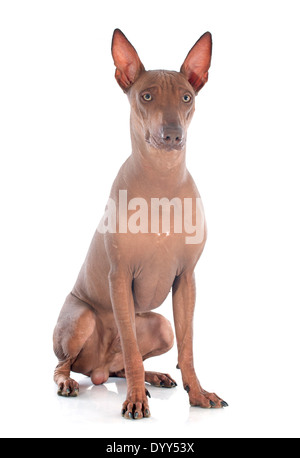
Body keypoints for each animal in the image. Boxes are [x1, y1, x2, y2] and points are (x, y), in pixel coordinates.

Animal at [53, 29, 227, 418]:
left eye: (186, 97)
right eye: (146, 96)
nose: (173, 134)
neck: (161, 180)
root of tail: (98, 369)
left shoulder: (186, 280)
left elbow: (187, 349)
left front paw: (197, 394)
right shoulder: (119, 277)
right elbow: (132, 350)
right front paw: (134, 400)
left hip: (161, 325)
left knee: (121, 364)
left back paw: (154, 376)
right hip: (81, 318)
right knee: (66, 364)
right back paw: (70, 383)